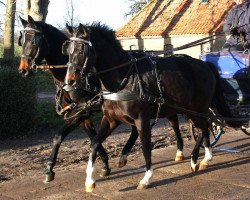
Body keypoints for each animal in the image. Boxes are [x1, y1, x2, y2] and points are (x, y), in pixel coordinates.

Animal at [63, 22, 236, 191]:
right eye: (68, 51)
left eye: (81, 50)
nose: (69, 81)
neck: (125, 79)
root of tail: (205, 65)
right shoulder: (111, 119)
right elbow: (94, 144)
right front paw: (89, 181)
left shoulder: (141, 120)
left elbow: (145, 146)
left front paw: (146, 178)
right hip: (192, 110)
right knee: (204, 129)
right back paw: (203, 158)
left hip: (197, 109)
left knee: (204, 128)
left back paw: (199, 158)